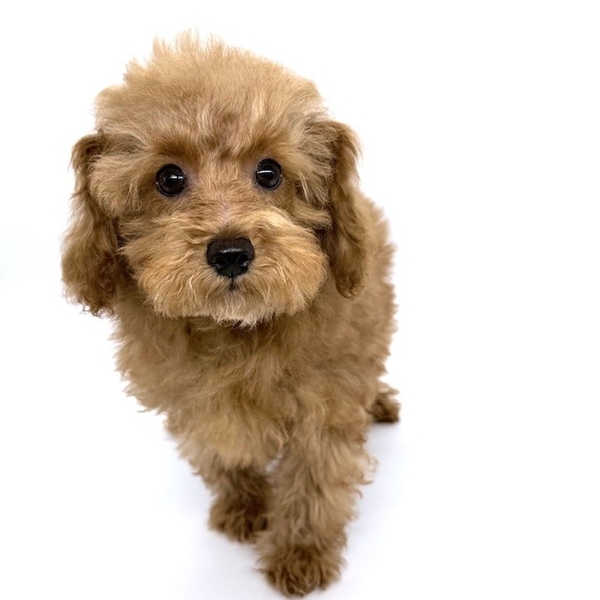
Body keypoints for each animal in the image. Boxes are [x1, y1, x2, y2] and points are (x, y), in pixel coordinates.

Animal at [62, 34, 399, 597]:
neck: (232, 329)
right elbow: (220, 453)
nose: (231, 252)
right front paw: (245, 507)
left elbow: (314, 479)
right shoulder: (189, 400)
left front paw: (300, 554)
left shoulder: (324, 404)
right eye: (169, 178)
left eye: (270, 172)